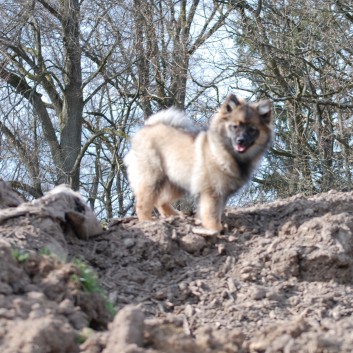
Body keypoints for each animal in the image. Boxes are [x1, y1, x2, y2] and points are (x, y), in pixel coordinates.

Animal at [124, 94, 272, 231]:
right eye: (235, 127)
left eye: (252, 129)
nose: (241, 140)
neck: (225, 152)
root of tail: (147, 128)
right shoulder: (212, 192)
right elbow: (211, 215)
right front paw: (215, 229)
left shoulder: (222, 194)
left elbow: (217, 213)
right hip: (152, 179)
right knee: (143, 205)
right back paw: (148, 222)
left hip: (177, 182)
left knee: (161, 201)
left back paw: (175, 215)